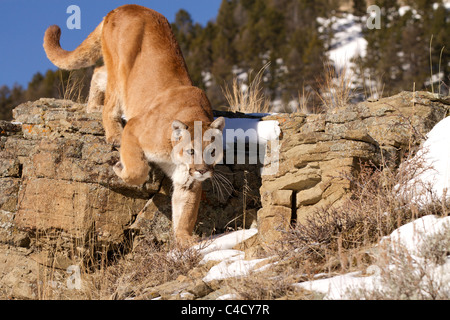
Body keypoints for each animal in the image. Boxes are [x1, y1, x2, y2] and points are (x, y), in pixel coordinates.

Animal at [43, 4, 225, 242]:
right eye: (191, 151)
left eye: (212, 151)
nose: (203, 171)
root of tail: (124, 7)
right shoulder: (135, 129)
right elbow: (138, 170)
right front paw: (119, 168)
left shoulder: (188, 179)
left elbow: (185, 210)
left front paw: (185, 240)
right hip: (120, 72)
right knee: (110, 102)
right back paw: (111, 130)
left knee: (98, 72)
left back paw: (92, 106)